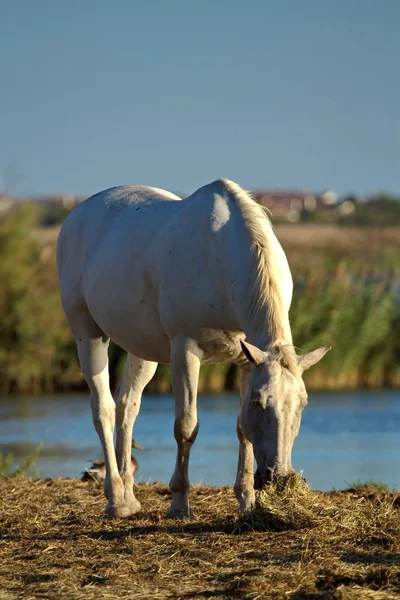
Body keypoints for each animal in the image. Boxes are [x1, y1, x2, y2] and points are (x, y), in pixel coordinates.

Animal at [57, 179, 332, 520]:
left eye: (303, 405)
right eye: (259, 403)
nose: (279, 477)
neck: (222, 260)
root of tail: (78, 214)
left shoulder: (246, 361)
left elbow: (241, 429)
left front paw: (247, 501)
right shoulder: (185, 351)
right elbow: (186, 426)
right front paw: (179, 504)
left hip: (142, 349)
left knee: (127, 406)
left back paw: (131, 498)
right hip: (87, 334)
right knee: (103, 409)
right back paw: (117, 500)